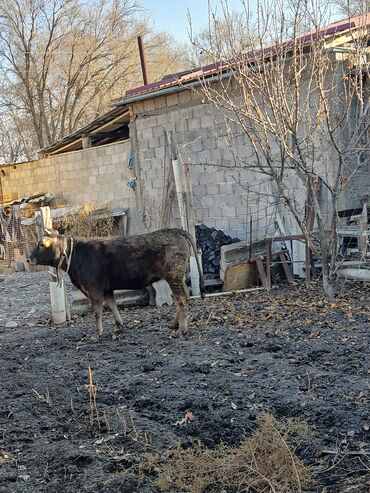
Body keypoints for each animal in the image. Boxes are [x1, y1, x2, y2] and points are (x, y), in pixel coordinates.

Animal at [28, 229, 205, 340]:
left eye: (41, 244)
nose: (29, 259)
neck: (76, 256)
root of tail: (175, 230)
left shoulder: (94, 289)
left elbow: (97, 311)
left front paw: (96, 335)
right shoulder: (107, 289)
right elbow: (112, 305)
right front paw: (119, 325)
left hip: (173, 275)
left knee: (182, 299)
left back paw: (182, 329)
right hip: (177, 277)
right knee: (184, 296)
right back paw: (175, 324)